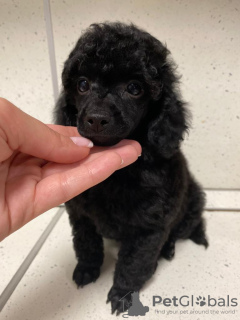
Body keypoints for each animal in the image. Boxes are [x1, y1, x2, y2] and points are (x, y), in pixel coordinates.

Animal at [54, 22, 206, 316]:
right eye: (82, 84)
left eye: (134, 88)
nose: (97, 119)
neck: (116, 177)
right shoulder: (79, 213)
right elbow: (86, 243)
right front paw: (87, 270)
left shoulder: (149, 227)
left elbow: (134, 263)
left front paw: (122, 295)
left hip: (191, 205)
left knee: (180, 231)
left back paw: (168, 250)